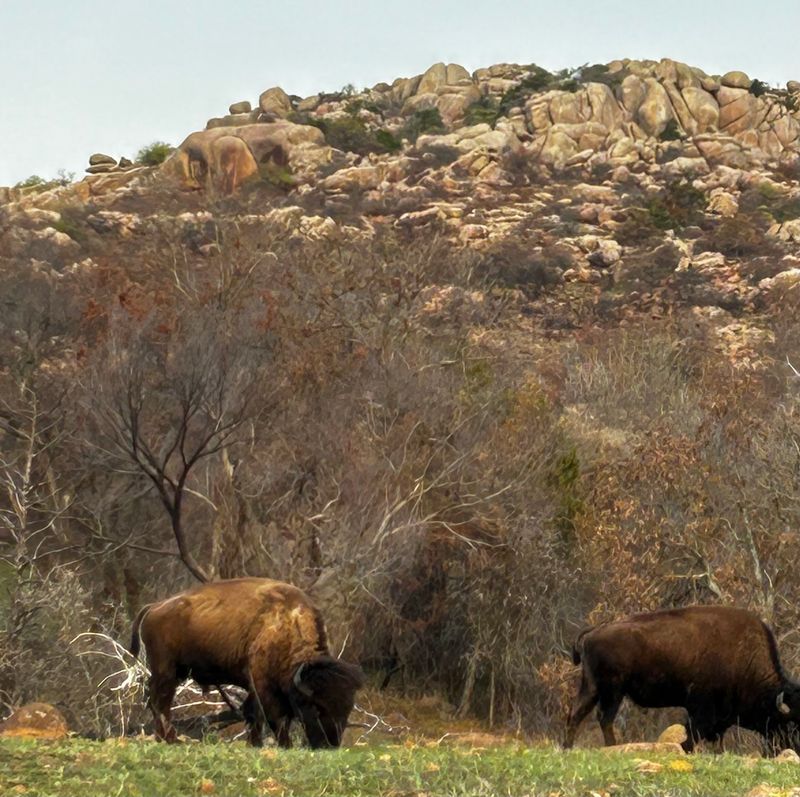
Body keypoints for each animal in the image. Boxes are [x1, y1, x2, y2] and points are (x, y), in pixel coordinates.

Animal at [129, 577, 364, 748]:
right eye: (316, 708)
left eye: (347, 709)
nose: (330, 744)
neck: (288, 623)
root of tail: (154, 606)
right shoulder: (262, 684)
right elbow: (274, 717)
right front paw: (283, 745)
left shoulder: (256, 686)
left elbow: (253, 713)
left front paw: (256, 744)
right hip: (166, 670)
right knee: (160, 701)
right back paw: (169, 739)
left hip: (175, 672)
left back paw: (164, 737)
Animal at [564, 605, 800, 753]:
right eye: (791, 725)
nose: (795, 748)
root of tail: (595, 630)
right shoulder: (701, 710)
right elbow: (693, 734)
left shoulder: (720, 717)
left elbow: (715, 738)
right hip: (613, 690)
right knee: (604, 718)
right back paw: (610, 746)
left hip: (592, 687)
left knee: (576, 714)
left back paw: (567, 748)